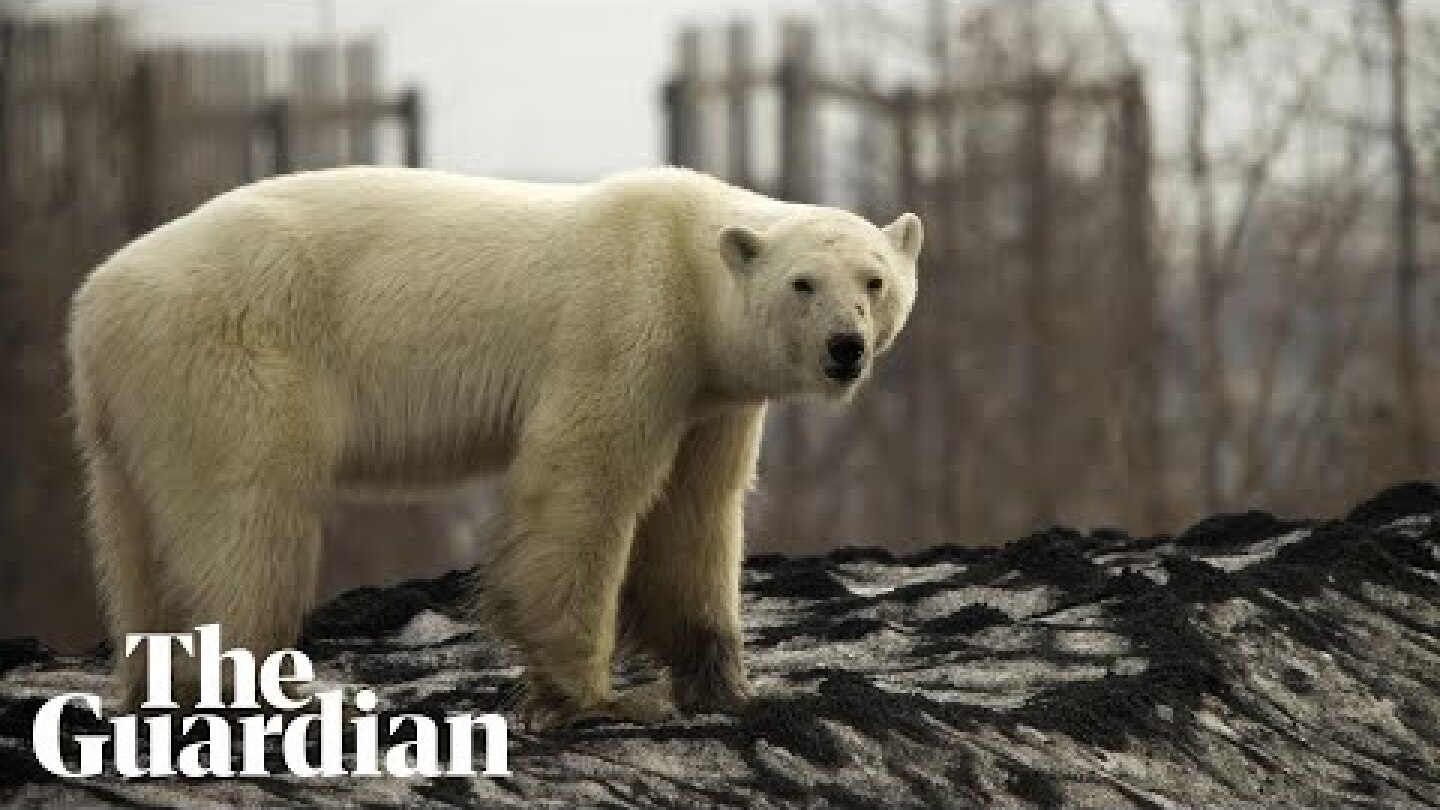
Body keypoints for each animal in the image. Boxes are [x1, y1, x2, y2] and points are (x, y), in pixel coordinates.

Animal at [67, 166, 923, 726]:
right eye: (803, 283)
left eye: (874, 279)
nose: (845, 348)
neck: (686, 254)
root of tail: (94, 300)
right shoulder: (627, 325)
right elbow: (583, 484)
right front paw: (597, 698)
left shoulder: (709, 396)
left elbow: (697, 514)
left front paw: (728, 685)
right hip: (231, 352)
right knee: (245, 517)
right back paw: (265, 686)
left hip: (134, 404)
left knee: (135, 538)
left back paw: (155, 684)